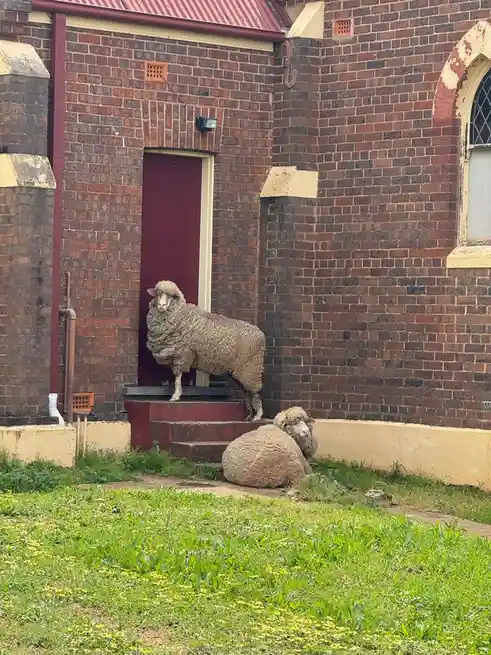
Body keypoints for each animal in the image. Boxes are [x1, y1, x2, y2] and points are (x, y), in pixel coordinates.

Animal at [146, 280, 266, 421]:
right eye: (158, 294)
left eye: (172, 296)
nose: (161, 305)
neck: (180, 314)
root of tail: (260, 334)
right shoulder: (177, 354)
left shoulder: (183, 353)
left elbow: (177, 376)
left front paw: (175, 396)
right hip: (241, 371)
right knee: (248, 391)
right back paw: (249, 415)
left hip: (252, 368)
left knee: (255, 391)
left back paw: (258, 415)